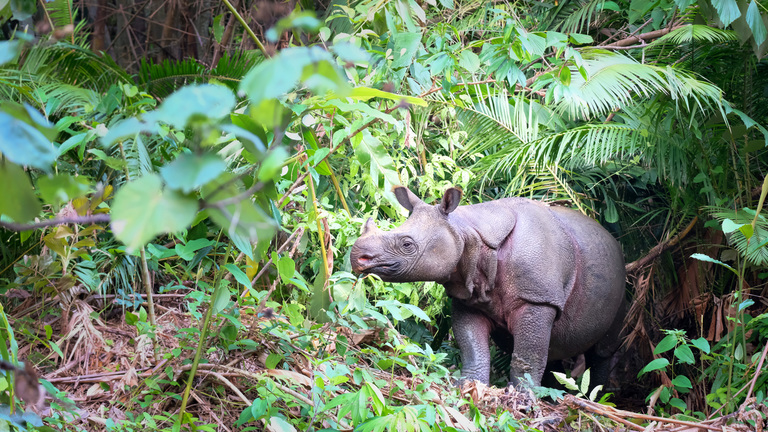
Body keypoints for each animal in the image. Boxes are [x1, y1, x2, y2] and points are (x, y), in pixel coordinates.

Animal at [350, 186, 626, 387]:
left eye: (407, 245)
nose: (357, 257)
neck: (466, 231)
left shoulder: (537, 298)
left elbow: (528, 357)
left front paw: (522, 400)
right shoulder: (468, 296)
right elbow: (472, 347)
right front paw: (470, 387)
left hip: (622, 281)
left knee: (601, 351)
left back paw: (595, 397)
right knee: (555, 350)